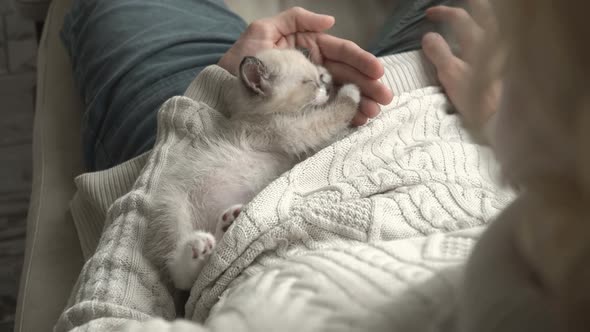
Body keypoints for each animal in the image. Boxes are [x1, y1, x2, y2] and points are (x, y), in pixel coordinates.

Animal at [146, 48, 364, 290]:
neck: (254, 116)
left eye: (319, 78)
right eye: (308, 83)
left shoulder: (299, 147)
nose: (326, 88)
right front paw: (351, 92)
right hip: (173, 208)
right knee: (183, 278)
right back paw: (197, 247)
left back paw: (226, 225)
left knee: (209, 263)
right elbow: (331, 116)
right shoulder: (296, 130)